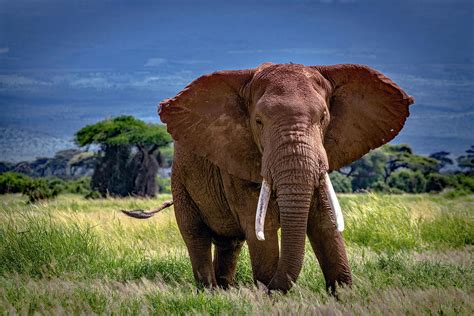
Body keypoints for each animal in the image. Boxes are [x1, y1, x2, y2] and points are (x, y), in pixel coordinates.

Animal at [157, 63, 412, 292]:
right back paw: (208, 291)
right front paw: (273, 295)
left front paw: (343, 294)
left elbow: (325, 223)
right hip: (180, 180)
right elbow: (263, 230)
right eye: (258, 122)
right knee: (196, 235)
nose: (268, 289)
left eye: (323, 118)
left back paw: (224, 291)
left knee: (229, 242)